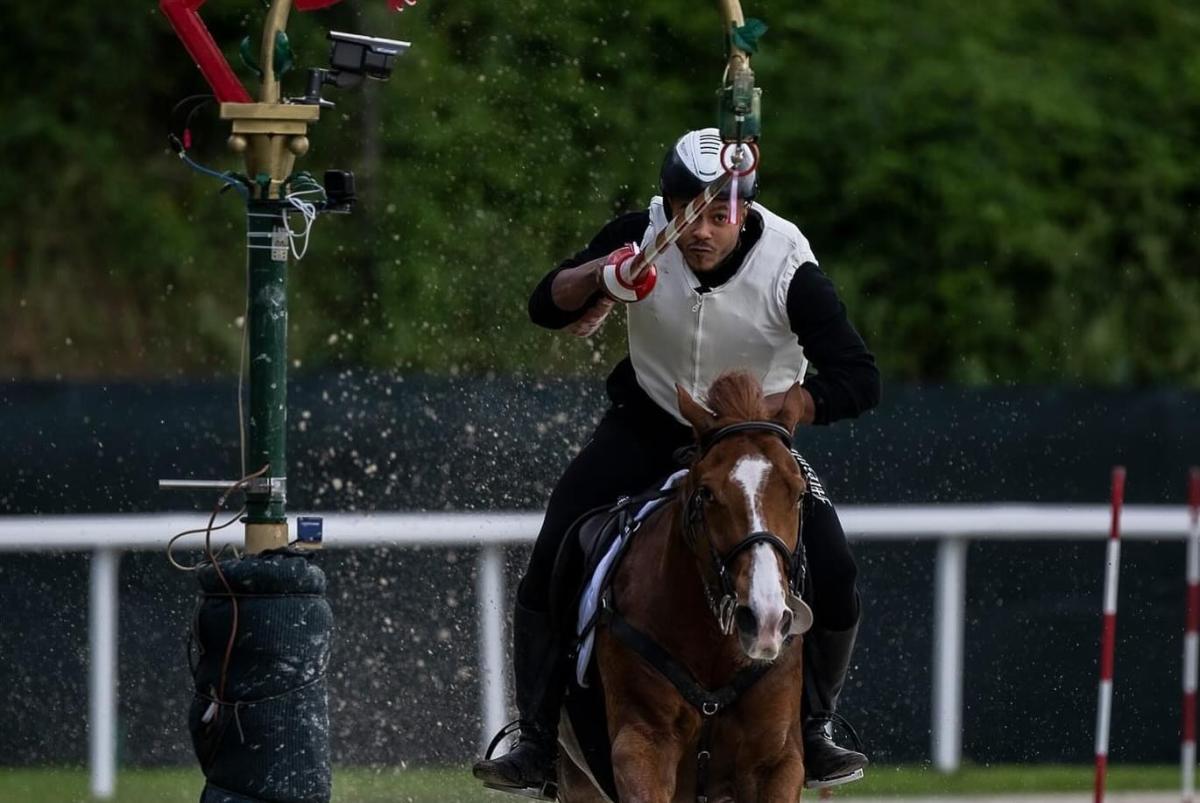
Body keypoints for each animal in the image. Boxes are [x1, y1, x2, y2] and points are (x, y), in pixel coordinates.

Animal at [561, 372, 816, 801]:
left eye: (799, 494)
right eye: (707, 494)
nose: (763, 618)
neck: (714, 646)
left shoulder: (776, 762)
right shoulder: (642, 745)